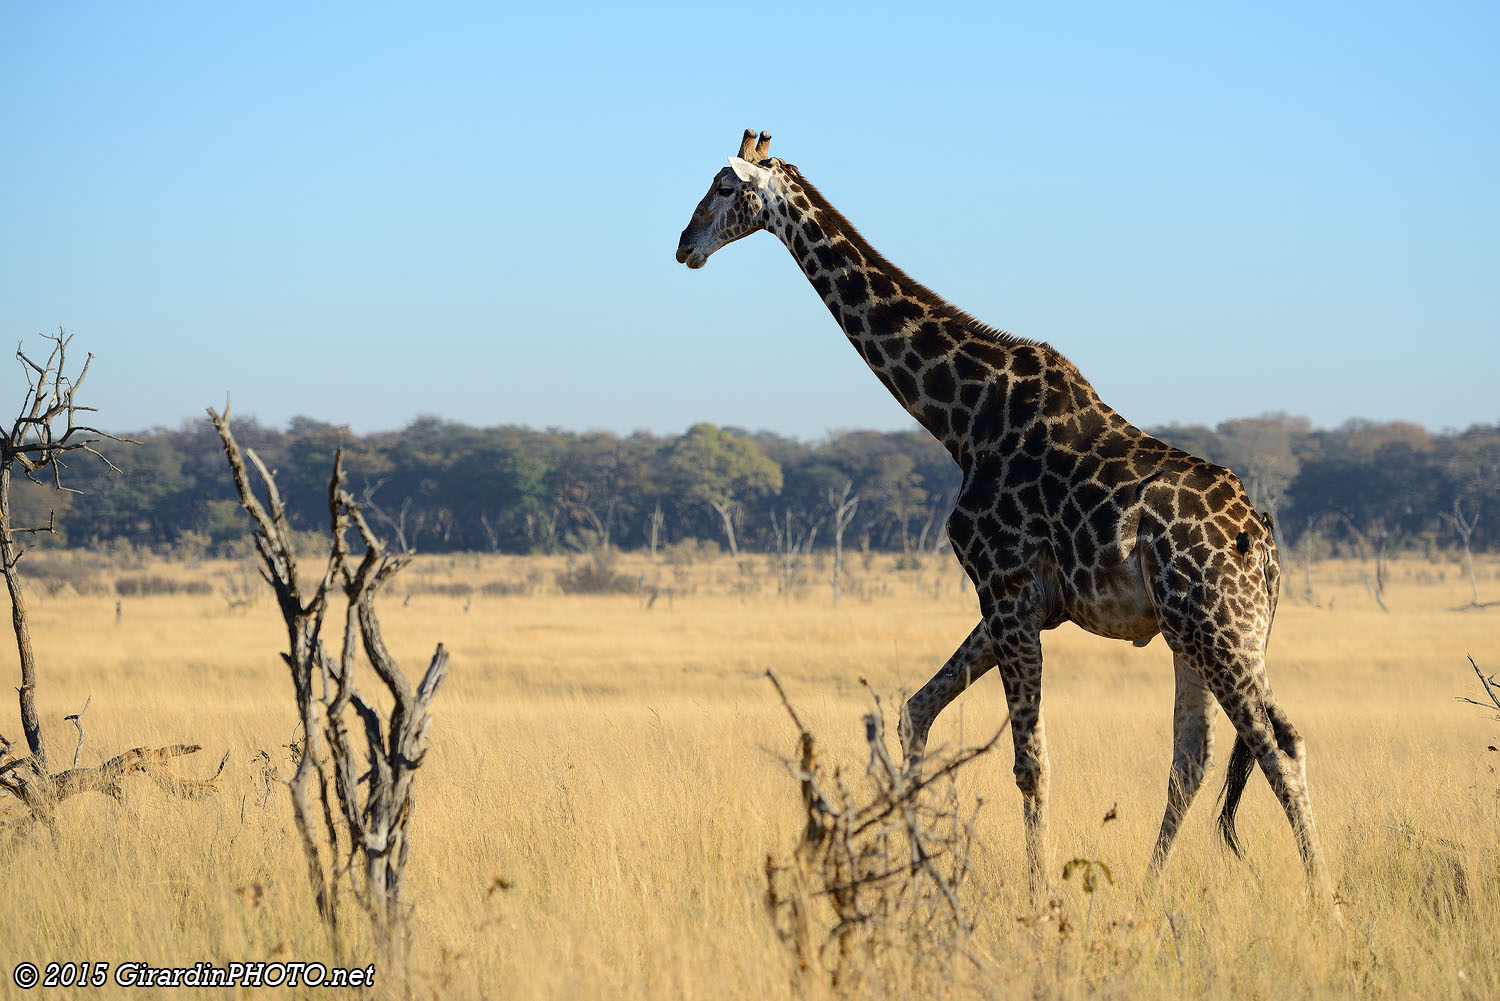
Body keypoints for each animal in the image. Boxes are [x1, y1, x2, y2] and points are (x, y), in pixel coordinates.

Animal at [675, 129, 1337, 908]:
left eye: (723, 186)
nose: (684, 244)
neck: (962, 418)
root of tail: (1263, 541)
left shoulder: (1007, 588)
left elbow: (1030, 761)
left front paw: (1037, 894)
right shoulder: (1019, 602)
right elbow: (916, 709)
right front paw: (921, 868)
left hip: (1217, 624)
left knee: (1277, 743)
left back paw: (1326, 902)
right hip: (1197, 631)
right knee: (1197, 756)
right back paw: (1148, 894)